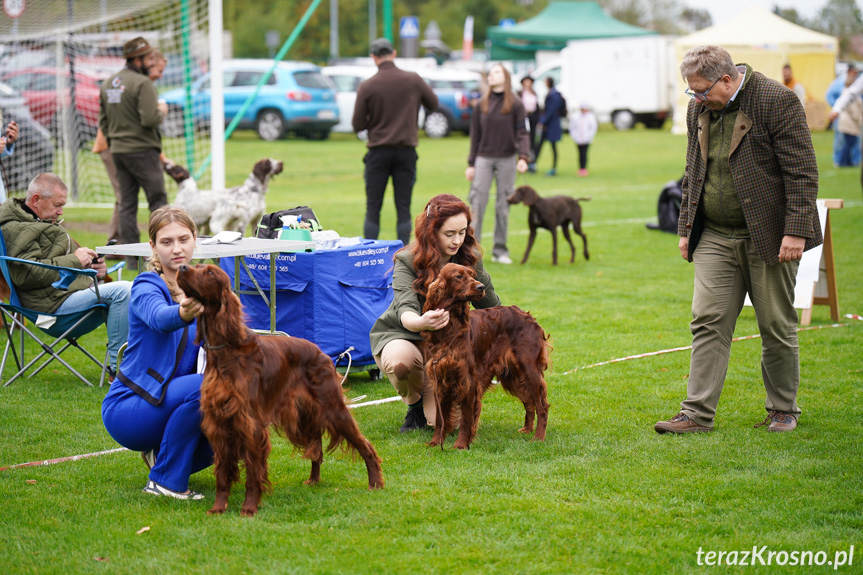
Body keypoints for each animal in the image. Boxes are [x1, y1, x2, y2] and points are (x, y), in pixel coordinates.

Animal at [177, 264, 384, 516]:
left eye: (209, 272)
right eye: (197, 267)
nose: (182, 266)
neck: (226, 351)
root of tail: (322, 353)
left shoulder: (250, 424)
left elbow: (253, 472)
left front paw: (249, 507)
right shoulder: (218, 421)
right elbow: (222, 473)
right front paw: (218, 508)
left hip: (333, 408)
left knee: (365, 445)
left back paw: (375, 482)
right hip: (303, 417)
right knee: (316, 449)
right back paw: (314, 480)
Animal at [422, 264, 552, 450]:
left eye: (472, 274)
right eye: (458, 276)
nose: (481, 287)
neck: (450, 329)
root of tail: (528, 316)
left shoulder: (468, 380)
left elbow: (467, 418)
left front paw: (461, 445)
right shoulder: (440, 378)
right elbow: (440, 418)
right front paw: (435, 442)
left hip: (529, 369)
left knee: (541, 405)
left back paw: (538, 437)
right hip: (513, 375)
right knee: (528, 401)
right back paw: (527, 429)